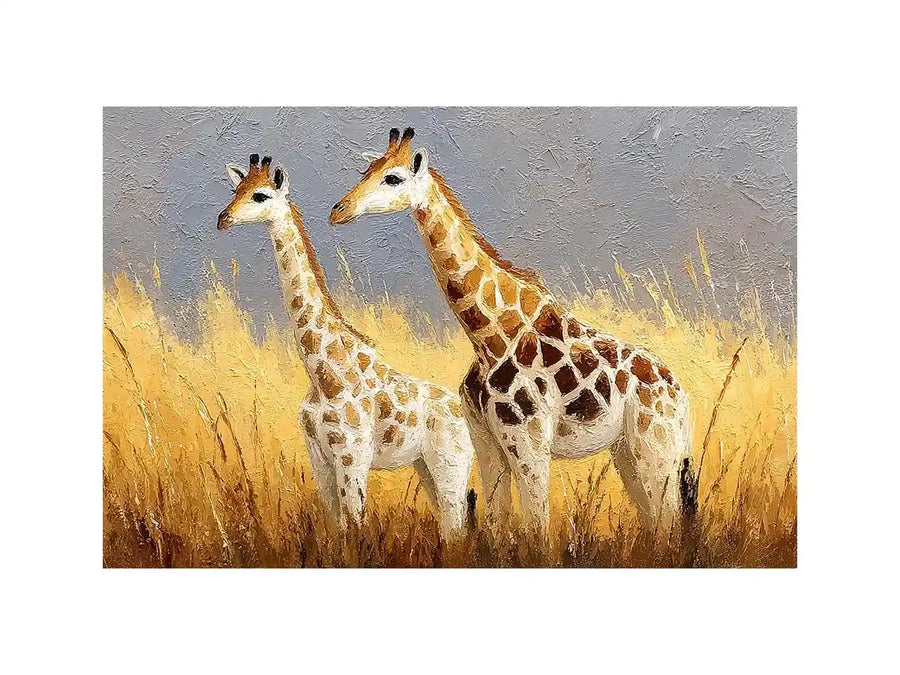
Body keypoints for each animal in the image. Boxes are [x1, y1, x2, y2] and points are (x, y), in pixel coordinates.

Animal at [217, 154, 475, 539]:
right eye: (236, 190)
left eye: (260, 195)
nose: (223, 218)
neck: (322, 373)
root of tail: (464, 411)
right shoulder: (319, 457)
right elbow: (336, 529)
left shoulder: (352, 456)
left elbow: (356, 526)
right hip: (424, 466)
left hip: (450, 464)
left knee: (456, 525)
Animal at [330, 129, 698, 538]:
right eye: (367, 170)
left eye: (392, 178)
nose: (338, 210)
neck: (487, 336)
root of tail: (681, 395)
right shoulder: (486, 441)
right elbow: (496, 522)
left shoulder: (528, 440)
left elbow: (537, 526)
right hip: (628, 451)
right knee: (655, 519)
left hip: (656, 445)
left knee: (666, 519)